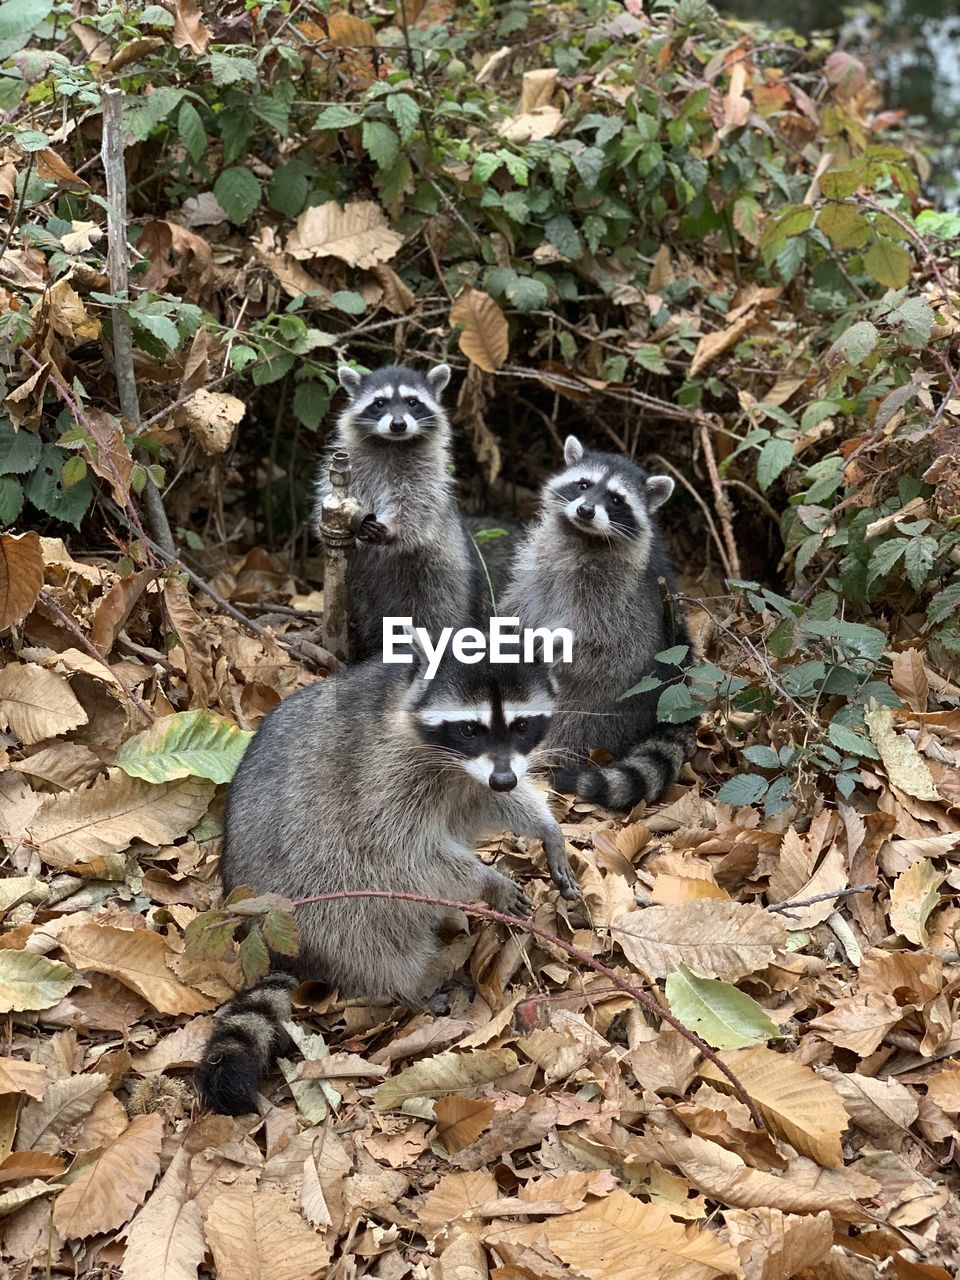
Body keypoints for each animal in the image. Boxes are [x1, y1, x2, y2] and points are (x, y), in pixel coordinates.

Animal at [192, 645, 576, 1116]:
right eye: (469, 728)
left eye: (522, 725)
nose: (504, 778)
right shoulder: (382, 779)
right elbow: (412, 854)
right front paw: (489, 881)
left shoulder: (469, 782)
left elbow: (485, 803)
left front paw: (546, 827)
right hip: (317, 895)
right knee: (374, 937)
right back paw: (409, 987)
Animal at [313, 360, 483, 660]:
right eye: (379, 403)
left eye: (413, 402)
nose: (398, 424)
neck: (392, 443)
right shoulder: (356, 465)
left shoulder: (425, 476)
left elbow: (416, 505)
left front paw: (393, 529)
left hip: (439, 575)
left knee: (437, 610)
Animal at [499, 430, 696, 808]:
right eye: (583, 485)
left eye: (616, 499)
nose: (586, 509)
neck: (583, 536)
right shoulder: (539, 564)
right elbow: (518, 604)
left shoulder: (614, 598)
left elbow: (595, 642)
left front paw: (546, 646)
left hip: (605, 707)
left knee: (571, 717)